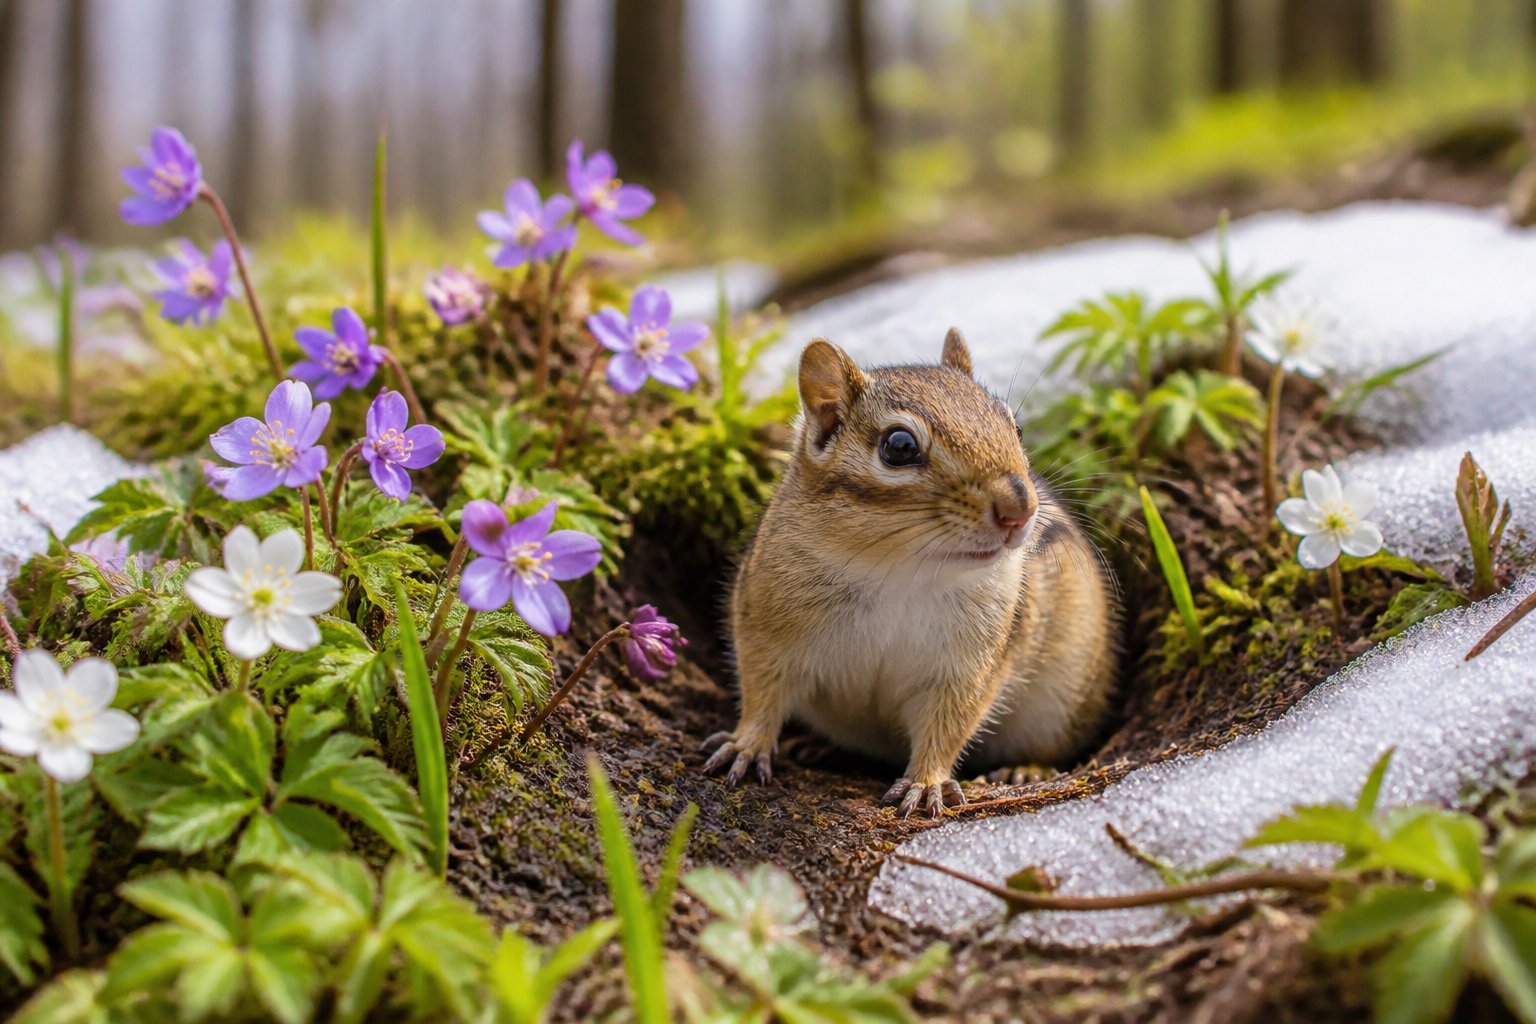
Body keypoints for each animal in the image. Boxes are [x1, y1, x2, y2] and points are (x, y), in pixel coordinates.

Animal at [703, 329, 1119, 818]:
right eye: (899, 447)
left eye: (1014, 427)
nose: (1020, 508)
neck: (901, 571)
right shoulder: (766, 626)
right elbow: (760, 691)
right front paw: (747, 745)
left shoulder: (968, 669)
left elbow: (949, 725)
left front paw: (926, 782)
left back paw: (1026, 769)